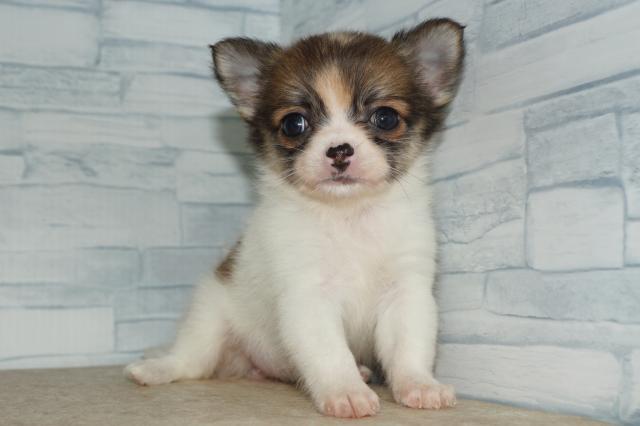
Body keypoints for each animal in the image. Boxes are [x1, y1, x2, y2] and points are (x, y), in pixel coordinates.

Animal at [125, 18, 465, 418]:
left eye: (385, 117)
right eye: (294, 124)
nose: (339, 149)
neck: (348, 215)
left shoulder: (406, 292)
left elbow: (408, 347)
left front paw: (419, 385)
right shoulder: (309, 296)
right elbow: (330, 353)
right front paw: (346, 391)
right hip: (208, 317)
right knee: (189, 359)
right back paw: (154, 368)